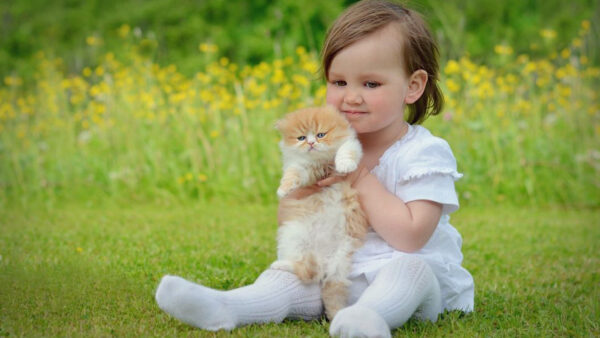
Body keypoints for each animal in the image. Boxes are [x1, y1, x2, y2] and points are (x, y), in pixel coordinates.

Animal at [270, 105, 366, 320]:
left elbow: (345, 152)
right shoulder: (302, 167)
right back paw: (281, 265)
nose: (312, 143)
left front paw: (344, 165)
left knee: (321, 278)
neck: (321, 163)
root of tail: (323, 260)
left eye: (321, 134)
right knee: (306, 271)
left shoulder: (351, 144)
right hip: (294, 237)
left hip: (341, 257)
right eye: (301, 138)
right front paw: (283, 190)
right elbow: (293, 174)